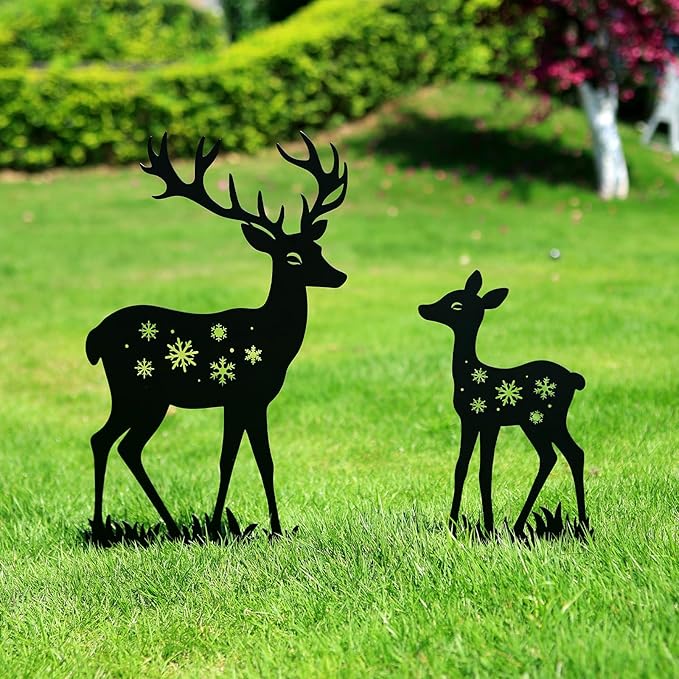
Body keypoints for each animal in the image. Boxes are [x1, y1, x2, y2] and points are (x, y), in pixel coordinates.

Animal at [86, 131, 348, 540]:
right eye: (292, 258)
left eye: (317, 247)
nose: (339, 276)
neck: (274, 339)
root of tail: (95, 336)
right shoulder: (246, 396)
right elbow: (241, 460)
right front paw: (230, 527)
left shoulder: (245, 402)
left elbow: (251, 460)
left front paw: (261, 528)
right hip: (139, 392)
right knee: (113, 441)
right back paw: (121, 528)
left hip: (141, 397)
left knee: (115, 443)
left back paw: (154, 526)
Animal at [419, 270, 588, 537]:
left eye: (456, 305)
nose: (423, 308)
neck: (470, 372)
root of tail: (574, 379)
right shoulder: (475, 421)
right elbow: (463, 468)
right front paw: (458, 526)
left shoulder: (485, 421)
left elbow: (483, 471)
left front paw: (483, 530)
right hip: (545, 422)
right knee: (568, 454)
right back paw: (577, 525)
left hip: (541, 419)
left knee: (557, 455)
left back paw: (528, 527)